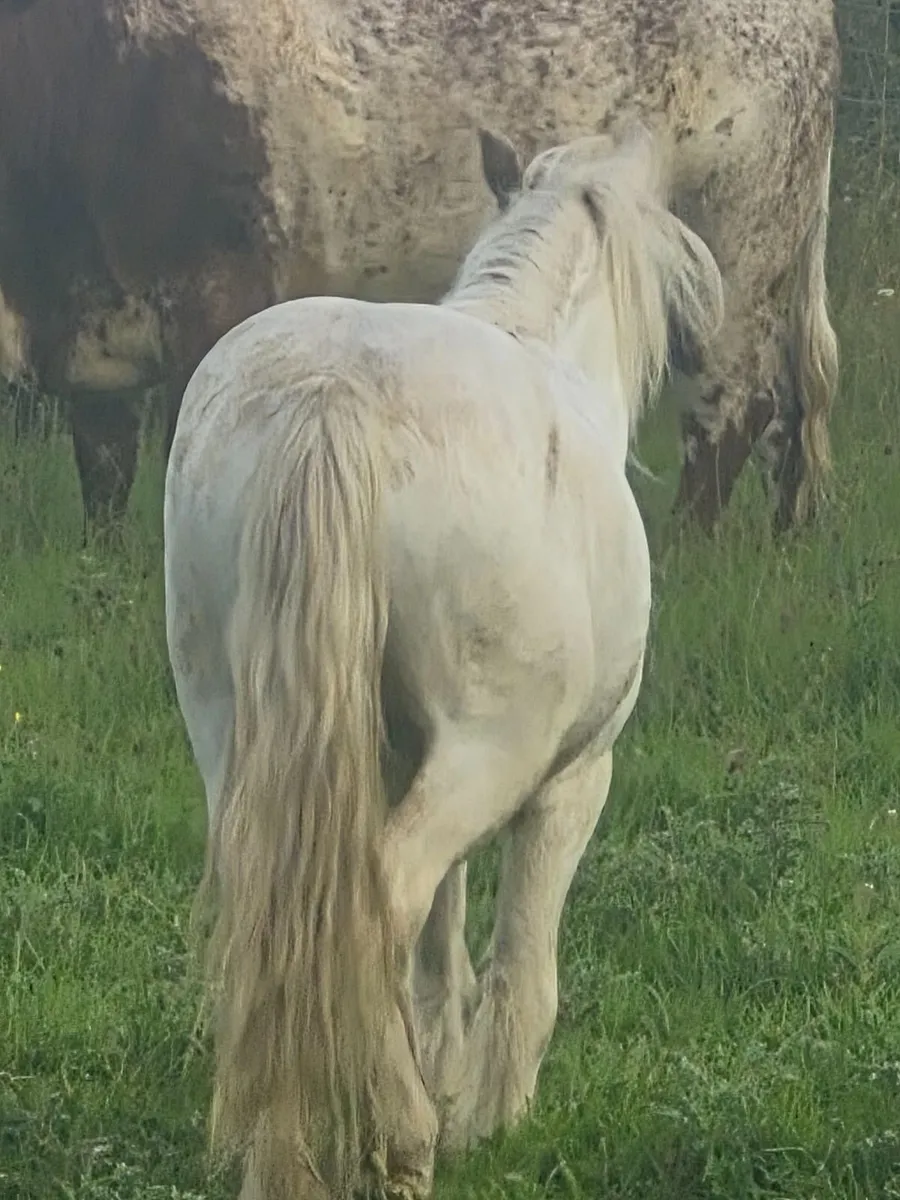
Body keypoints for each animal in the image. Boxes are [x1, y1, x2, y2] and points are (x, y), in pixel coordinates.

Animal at [1, 0, 836, 536]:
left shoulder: (215, 295)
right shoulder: (94, 334)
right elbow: (104, 476)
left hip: (739, 246)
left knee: (733, 410)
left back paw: (685, 550)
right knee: (787, 414)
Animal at [164, 126, 723, 1198]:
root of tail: (335, 397)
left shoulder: (399, 759)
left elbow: (437, 949)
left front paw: (443, 1068)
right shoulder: (570, 785)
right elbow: (520, 963)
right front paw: (490, 1114)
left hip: (236, 731)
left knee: (289, 913)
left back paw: (290, 1143)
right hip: (486, 756)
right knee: (379, 902)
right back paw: (401, 1142)